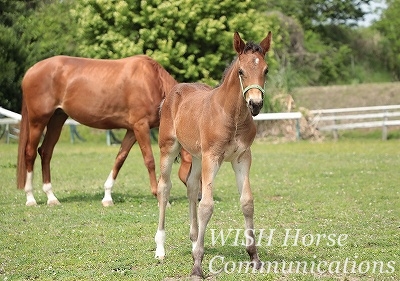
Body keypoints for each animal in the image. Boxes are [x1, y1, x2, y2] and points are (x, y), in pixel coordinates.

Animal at [16, 54, 189, 206]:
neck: (152, 81)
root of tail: (30, 71)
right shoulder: (141, 126)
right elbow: (149, 160)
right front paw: (159, 197)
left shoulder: (132, 130)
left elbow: (120, 159)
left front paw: (107, 197)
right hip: (38, 121)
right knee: (30, 153)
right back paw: (30, 198)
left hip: (57, 119)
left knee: (46, 152)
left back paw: (51, 197)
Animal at [154, 31, 272, 276]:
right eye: (241, 71)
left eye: (266, 70)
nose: (255, 104)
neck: (232, 115)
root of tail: (173, 93)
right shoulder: (213, 157)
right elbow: (206, 206)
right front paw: (197, 267)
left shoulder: (242, 158)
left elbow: (247, 202)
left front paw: (254, 258)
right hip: (168, 148)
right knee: (164, 188)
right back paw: (160, 249)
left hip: (197, 156)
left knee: (191, 186)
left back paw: (193, 242)